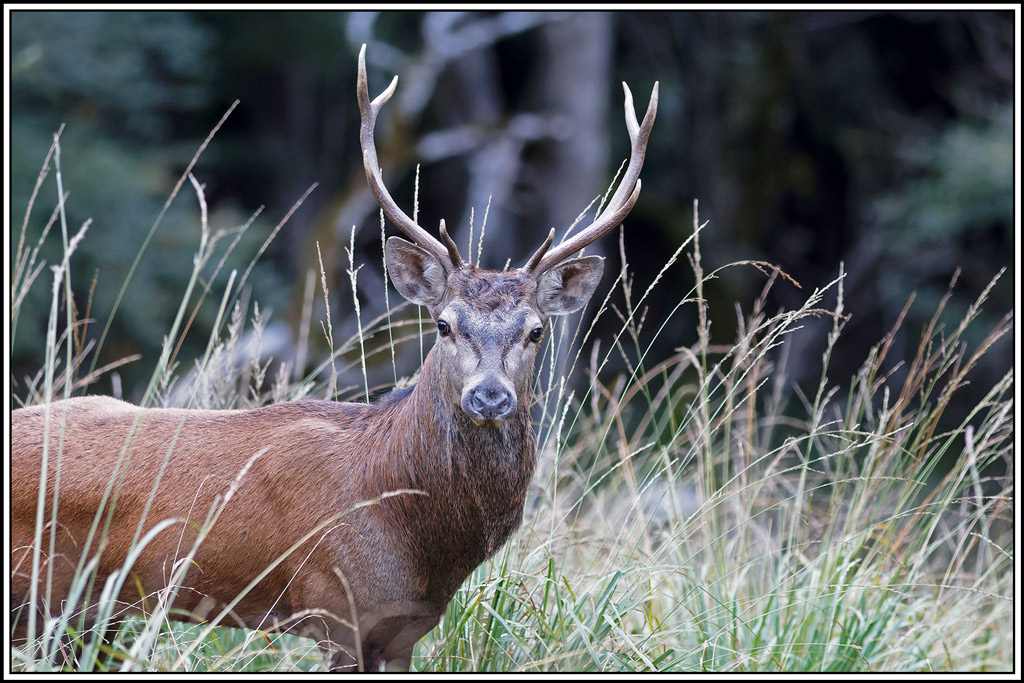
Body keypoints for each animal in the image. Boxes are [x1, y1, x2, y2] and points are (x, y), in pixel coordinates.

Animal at [10, 45, 657, 672]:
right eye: (443, 324)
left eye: (536, 331)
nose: (490, 395)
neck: (410, 529)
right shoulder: (338, 606)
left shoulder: (402, 630)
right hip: (48, 596)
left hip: (98, 613)